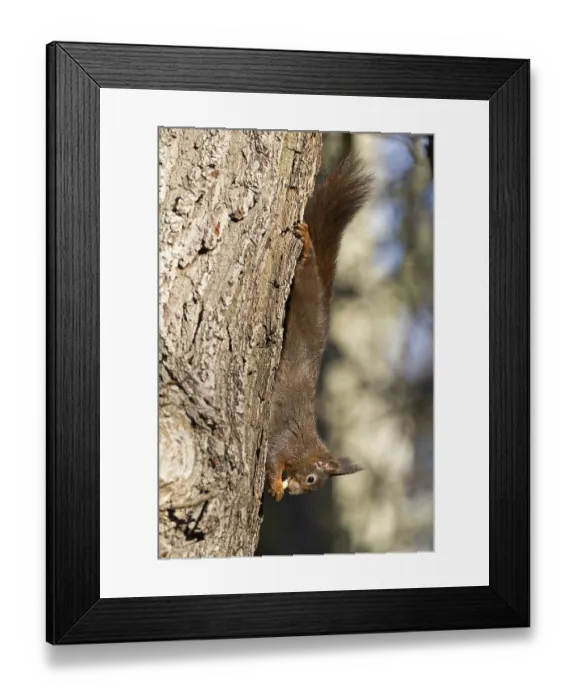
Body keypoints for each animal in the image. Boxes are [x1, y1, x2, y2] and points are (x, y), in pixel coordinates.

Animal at [266, 154, 373, 502]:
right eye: (312, 478)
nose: (298, 492)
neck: (307, 446)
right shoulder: (283, 439)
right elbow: (272, 459)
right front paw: (276, 485)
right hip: (305, 284)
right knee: (308, 265)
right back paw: (308, 245)